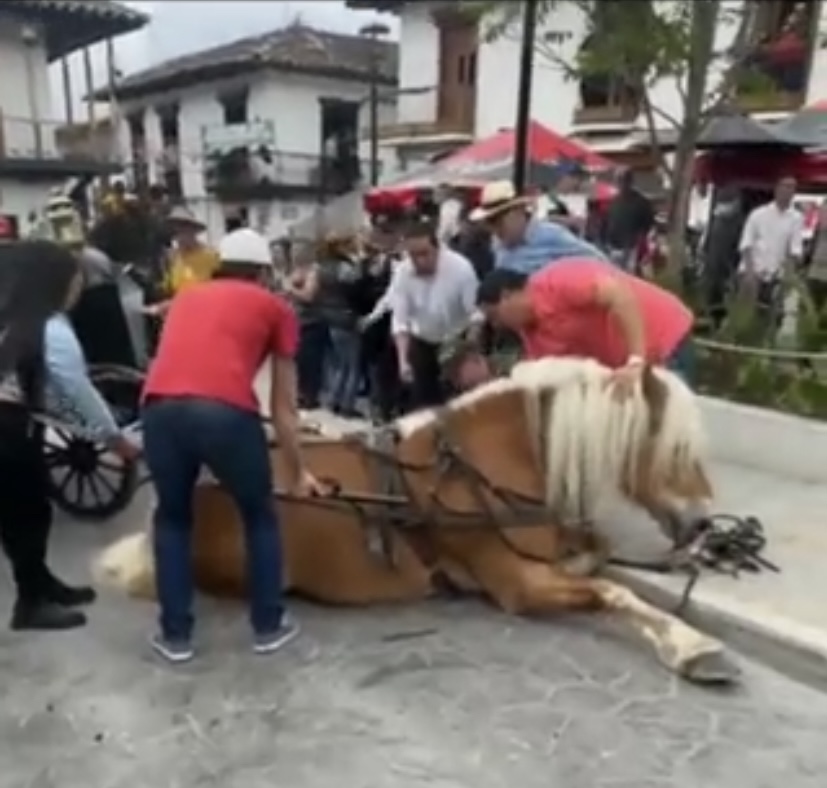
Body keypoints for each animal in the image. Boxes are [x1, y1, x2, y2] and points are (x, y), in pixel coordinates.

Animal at [98, 358, 744, 684]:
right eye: (678, 450)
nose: (704, 523)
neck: (484, 462)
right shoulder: (518, 585)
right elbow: (611, 590)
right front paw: (691, 647)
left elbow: (599, 552)